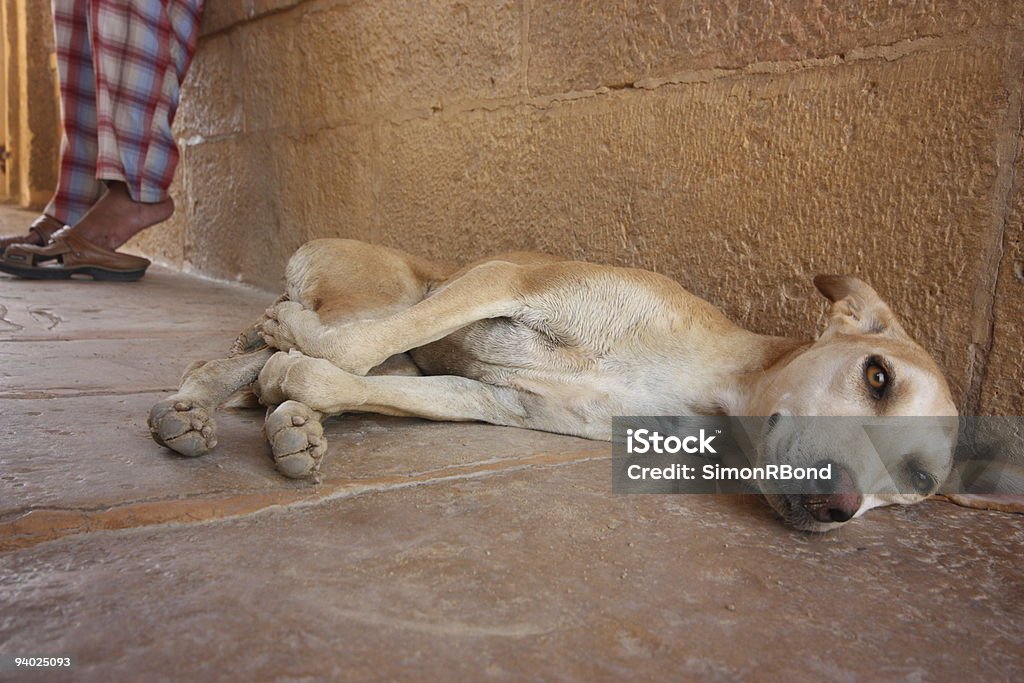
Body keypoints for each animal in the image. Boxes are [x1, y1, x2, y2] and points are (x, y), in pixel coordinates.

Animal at [149, 237, 958, 532]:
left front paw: (303, 391)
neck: (706, 383)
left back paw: (257, 417)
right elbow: (344, 348)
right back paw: (209, 399)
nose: (840, 506)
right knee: (272, 345)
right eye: (877, 377)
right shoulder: (504, 279)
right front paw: (297, 359)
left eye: (918, 482)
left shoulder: (496, 401)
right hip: (389, 287)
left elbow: (346, 378)